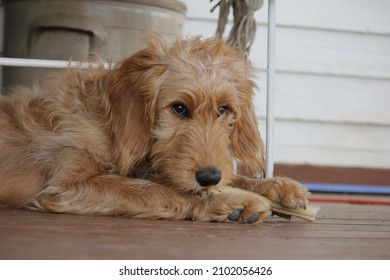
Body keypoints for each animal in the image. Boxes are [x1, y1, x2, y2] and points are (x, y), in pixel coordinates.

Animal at [0, 34, 308, 223]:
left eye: (223, 110)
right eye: (179, 108)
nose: (209, 177)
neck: (111, 126)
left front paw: (274, 185)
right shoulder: (69, 184)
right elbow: (153, 190)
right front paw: (228, 202)